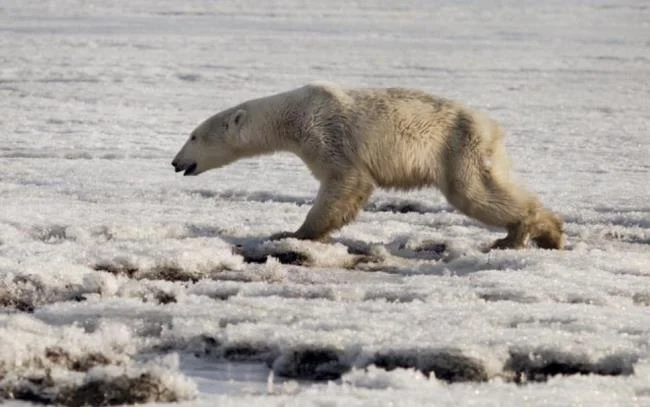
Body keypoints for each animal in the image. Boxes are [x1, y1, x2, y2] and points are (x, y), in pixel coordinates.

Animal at [172, 82, 564, 250]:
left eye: (193, 136)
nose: (176, 163)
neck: (293, 115)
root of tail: (492, 127)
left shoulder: (326, 133)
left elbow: (345, 181)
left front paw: (292, 233)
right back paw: (541, 232)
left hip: (457, 146)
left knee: (473, 193)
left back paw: (525, 233)